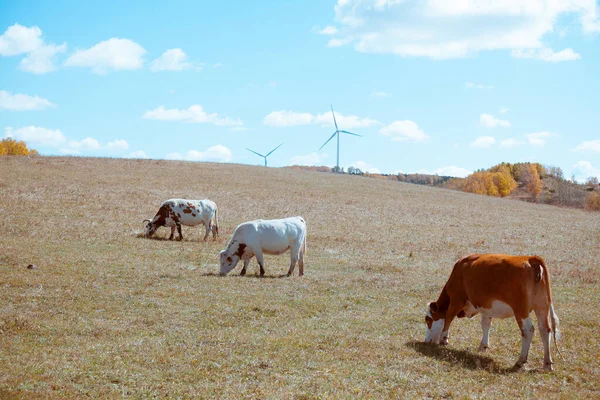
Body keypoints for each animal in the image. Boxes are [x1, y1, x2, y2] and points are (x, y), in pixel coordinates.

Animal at [424, 255, 560, 370]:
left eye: (428, 320)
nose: (426, 341)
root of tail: (530, 258)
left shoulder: (456, 299)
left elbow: (448, 317)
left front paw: (444, 339)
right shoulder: (486, 308)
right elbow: (486, 324)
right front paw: (483, 346)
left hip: (520, 310)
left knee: (528, 330)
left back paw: (520, 361)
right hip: (542, 307)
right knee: (545, 330)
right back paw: (547, 363)